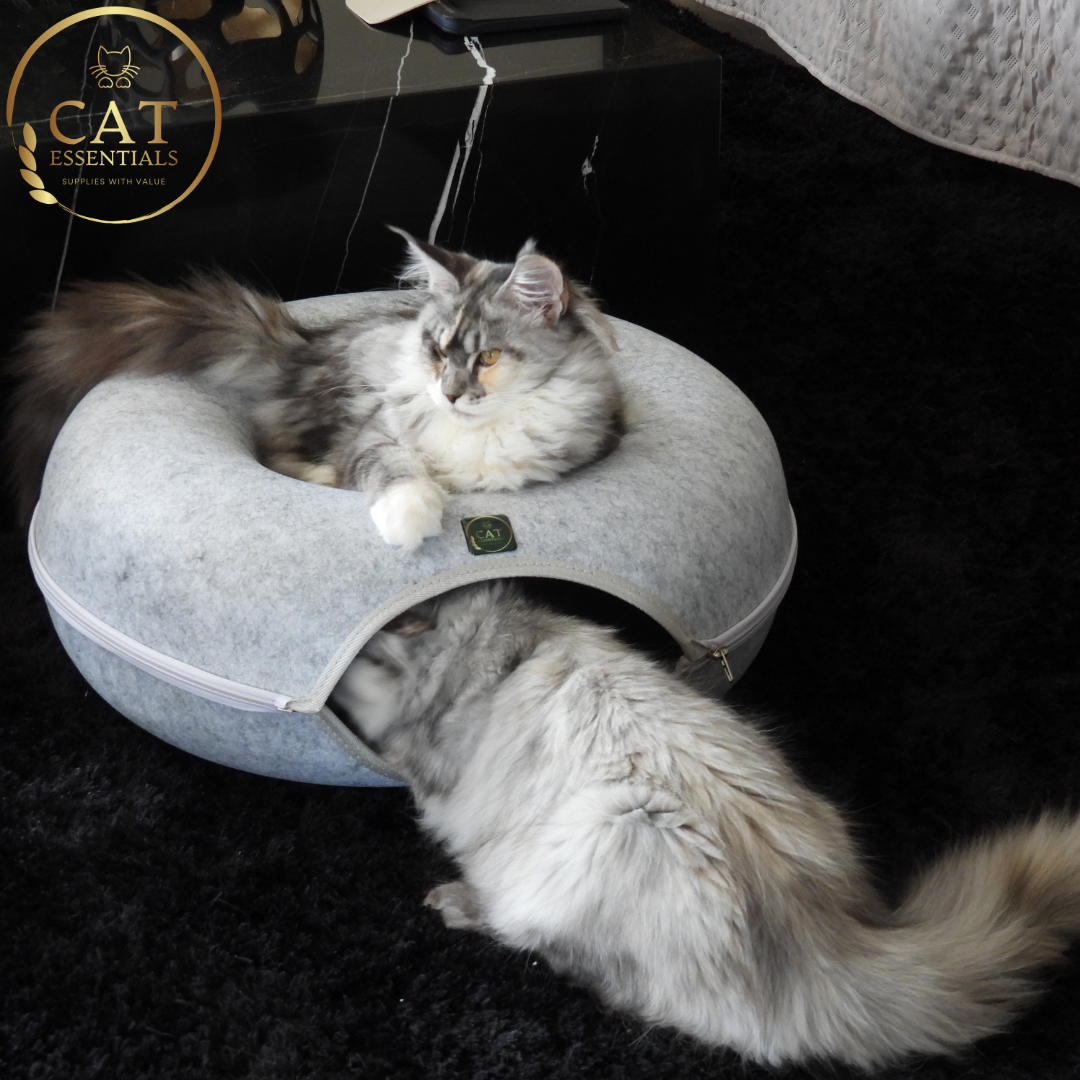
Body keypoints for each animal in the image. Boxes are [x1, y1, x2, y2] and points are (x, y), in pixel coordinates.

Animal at [6, 229, 623, 548]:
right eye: (436, 351)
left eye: (487, 357)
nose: (448, 393)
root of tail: (302, 344)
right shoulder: (374, 435)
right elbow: (393, 469)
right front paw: (411, 519)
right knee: (279, 450)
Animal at [330, 579, 1080, 1070]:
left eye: (364, 663)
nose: (329, 698)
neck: (493, 655)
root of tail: (832, 941)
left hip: (615, 833)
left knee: (597, 974)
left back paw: (461, 903)